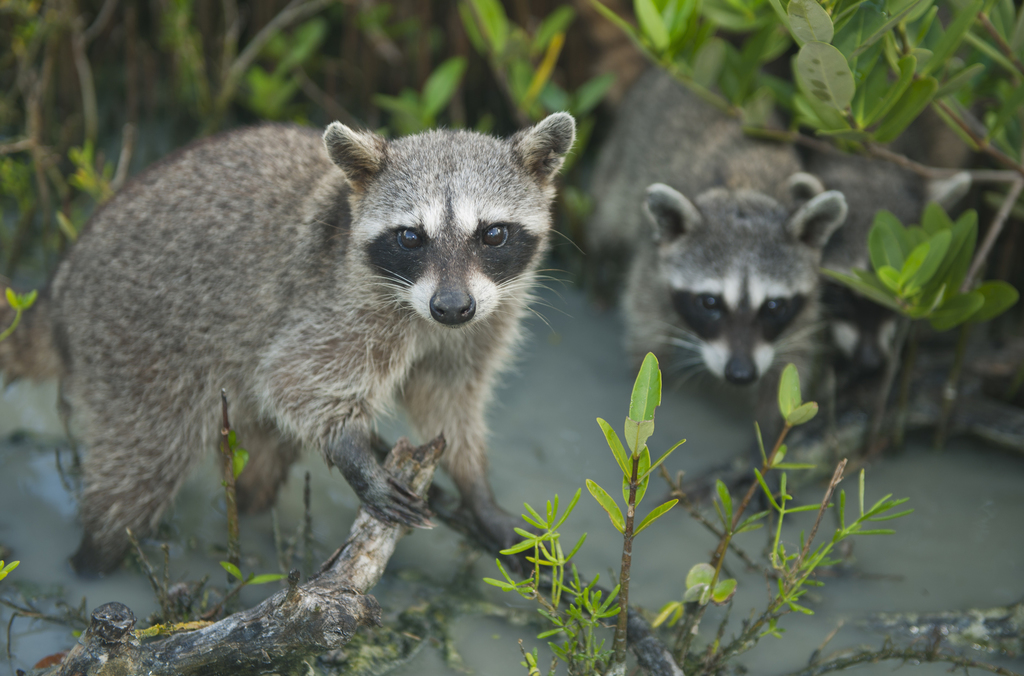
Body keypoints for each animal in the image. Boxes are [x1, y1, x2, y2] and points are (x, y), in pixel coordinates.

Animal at [0, 113, 577, 573]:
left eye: (492, 233)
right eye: (412, 237)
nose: (452, 307)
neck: (425, 315)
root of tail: (59, 289)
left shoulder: (483, 318)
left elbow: (448, 398)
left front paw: (477, 489)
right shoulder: (335, 303)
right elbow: (292, 378)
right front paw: (353, 451)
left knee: (260, 454)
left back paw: (248, 506)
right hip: (135, 346)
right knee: (140, 467)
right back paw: (94, 559)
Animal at [589, 68, 843, 436]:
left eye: (774, 306)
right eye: (710, 303)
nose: (741, 373)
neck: (744, 188)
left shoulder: (805, 305)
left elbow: (791, 371)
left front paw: (770, 431)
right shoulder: (652, 270)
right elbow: (647, 347)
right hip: (621, 162)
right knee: (607, 218)